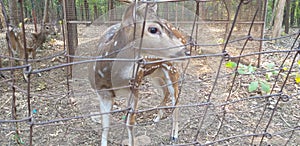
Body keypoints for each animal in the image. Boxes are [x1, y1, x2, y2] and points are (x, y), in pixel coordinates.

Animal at [88, 1, 189, 145]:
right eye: (153, 29)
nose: (186, 51)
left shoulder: (135, 88)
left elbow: (130, 123)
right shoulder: (102, 93)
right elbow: (105, 125)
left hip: (172, 70)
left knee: (176, 99)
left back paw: (174, 135)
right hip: (155, 74)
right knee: (165, 92)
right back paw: (157, 118)